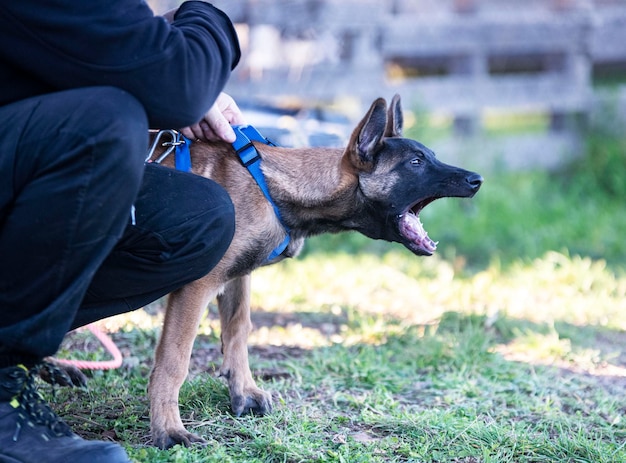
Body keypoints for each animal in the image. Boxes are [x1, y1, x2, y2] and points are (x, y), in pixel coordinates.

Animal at [146, 93, 482, 450]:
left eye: (431, 156)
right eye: (416, 162)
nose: (477, 180)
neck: (270, 186)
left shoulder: (238, 277)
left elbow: (238, 330)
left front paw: (244, 392)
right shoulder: (196, 288)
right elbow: (174, 360)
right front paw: (168, 429)